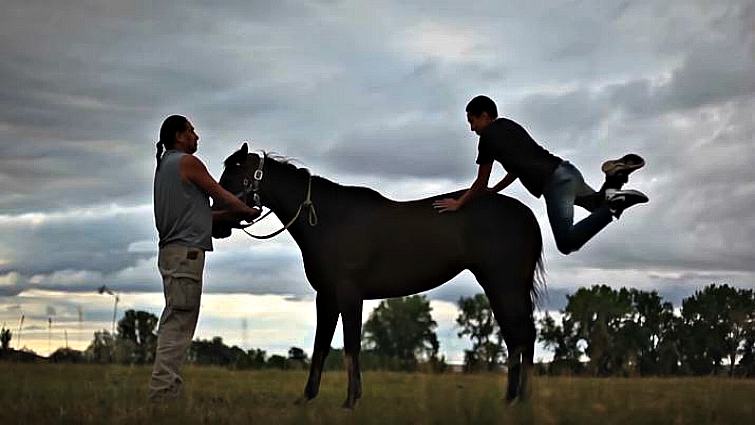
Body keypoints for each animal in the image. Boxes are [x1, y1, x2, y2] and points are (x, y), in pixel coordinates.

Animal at [212, 143, 546, 409]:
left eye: (230, 179)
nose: (217, 226)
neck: (329, 220)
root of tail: (527, 215)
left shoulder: (348, 294)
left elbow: (350, 346)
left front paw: (350, 401)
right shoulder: (327, 297)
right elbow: (321, 347)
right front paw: (307, 398)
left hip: (504, 284)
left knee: (524, 336)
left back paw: (522, 401)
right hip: (498, 286)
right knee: (515, 338)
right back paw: (510, 399)